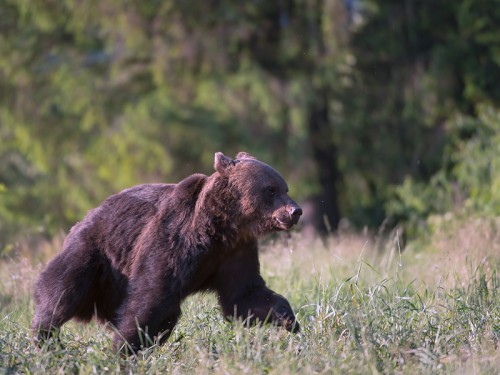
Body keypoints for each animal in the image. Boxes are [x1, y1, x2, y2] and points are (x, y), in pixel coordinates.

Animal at [34, 151, 304, 354]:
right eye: (271, 189)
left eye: (285, 188)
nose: (296, 211)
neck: (222, 226)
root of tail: (83, 219)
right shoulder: (177, 237)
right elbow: (155, 296)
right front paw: (125, 348)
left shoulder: (235, 252)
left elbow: (244, 295)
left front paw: (290, 320)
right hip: (95, 254)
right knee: (62, 290)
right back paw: (45, 337)